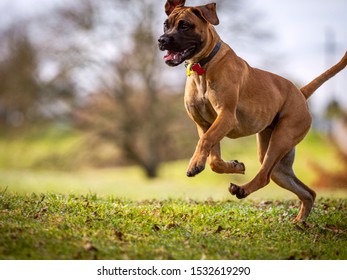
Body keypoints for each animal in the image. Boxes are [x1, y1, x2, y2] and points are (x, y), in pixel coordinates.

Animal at [158, 0, 347, 223]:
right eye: (165, 25)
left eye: (185, 25)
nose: (161, 40)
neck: (203, 66)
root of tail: (300, 93)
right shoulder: (205, 124)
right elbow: (214, 160)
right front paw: (234, 166)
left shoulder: (226, 117)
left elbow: (205, 142)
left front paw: (194, 165)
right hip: (278, 161)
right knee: (307, 192)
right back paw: (299, 221)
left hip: (281, 138)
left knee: (265, 176)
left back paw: (243, 190)